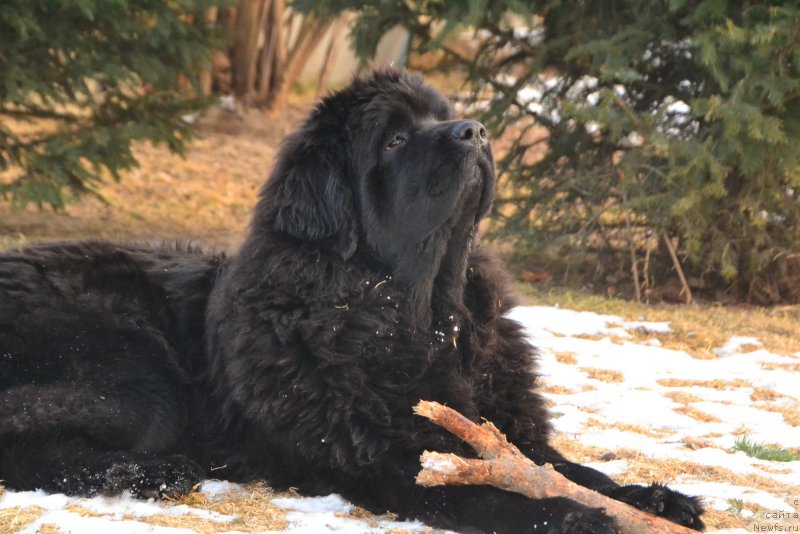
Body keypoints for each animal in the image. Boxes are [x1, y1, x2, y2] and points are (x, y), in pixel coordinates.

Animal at [0, 71, 700, 534]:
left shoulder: (503, 428)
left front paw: (651, 498)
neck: (423, 319)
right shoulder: (384, 465)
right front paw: (574, 517)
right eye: (392, 141)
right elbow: (493, 497)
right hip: (139, 381)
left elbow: (562, 466)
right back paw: (149, 473)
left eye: (442, 115)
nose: (475, 130)